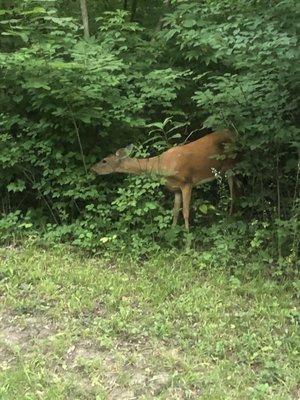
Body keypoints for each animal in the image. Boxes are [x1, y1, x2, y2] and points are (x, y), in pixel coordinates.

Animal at [91, 130, 237, 231]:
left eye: (104, 160)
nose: (92, 168)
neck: (162, 165)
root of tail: (231, 132)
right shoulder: (175, 188)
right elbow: (175, 212)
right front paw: (172, 231)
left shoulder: (187, 183)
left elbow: (185, 212)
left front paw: (187, 239)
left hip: (231, 165)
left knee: (233, 188)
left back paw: (230, 216)